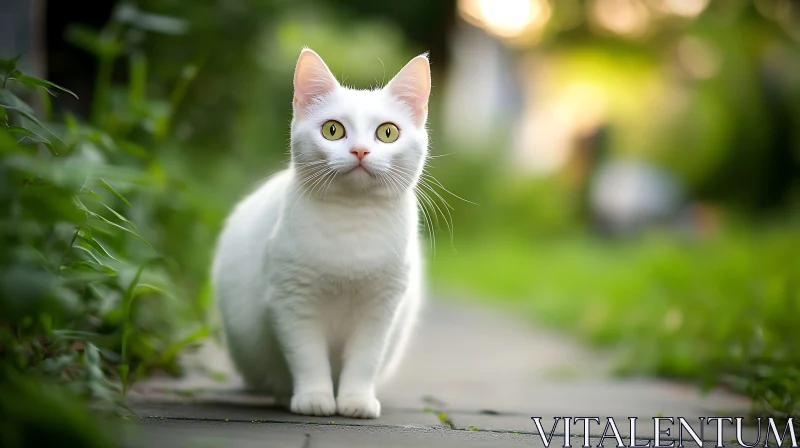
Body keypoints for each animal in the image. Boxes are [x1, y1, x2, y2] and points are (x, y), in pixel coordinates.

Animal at [209, 47, 428, 418]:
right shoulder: (292, 301)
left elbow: (365, 360)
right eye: (332, 130)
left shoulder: (381, 308)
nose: (359, 151)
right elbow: (307, 357)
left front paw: (356, 400)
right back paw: (284, 394)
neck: (351, 220)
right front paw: (314, 398)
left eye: (387, 133)